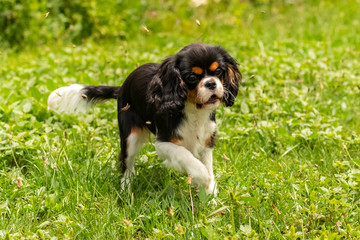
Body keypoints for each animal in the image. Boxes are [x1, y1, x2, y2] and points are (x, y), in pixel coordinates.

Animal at [46, 43, 240, 196]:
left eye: (219, 71)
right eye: (192, 77)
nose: (211, 83)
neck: (193, 110)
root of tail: (122, 87)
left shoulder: (206, 142)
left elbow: (208, 165)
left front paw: (210, 195)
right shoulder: (163, 143)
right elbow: (186, 157)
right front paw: (203, 177)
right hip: (129, 137)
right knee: (127, 164)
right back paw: (126, 191)